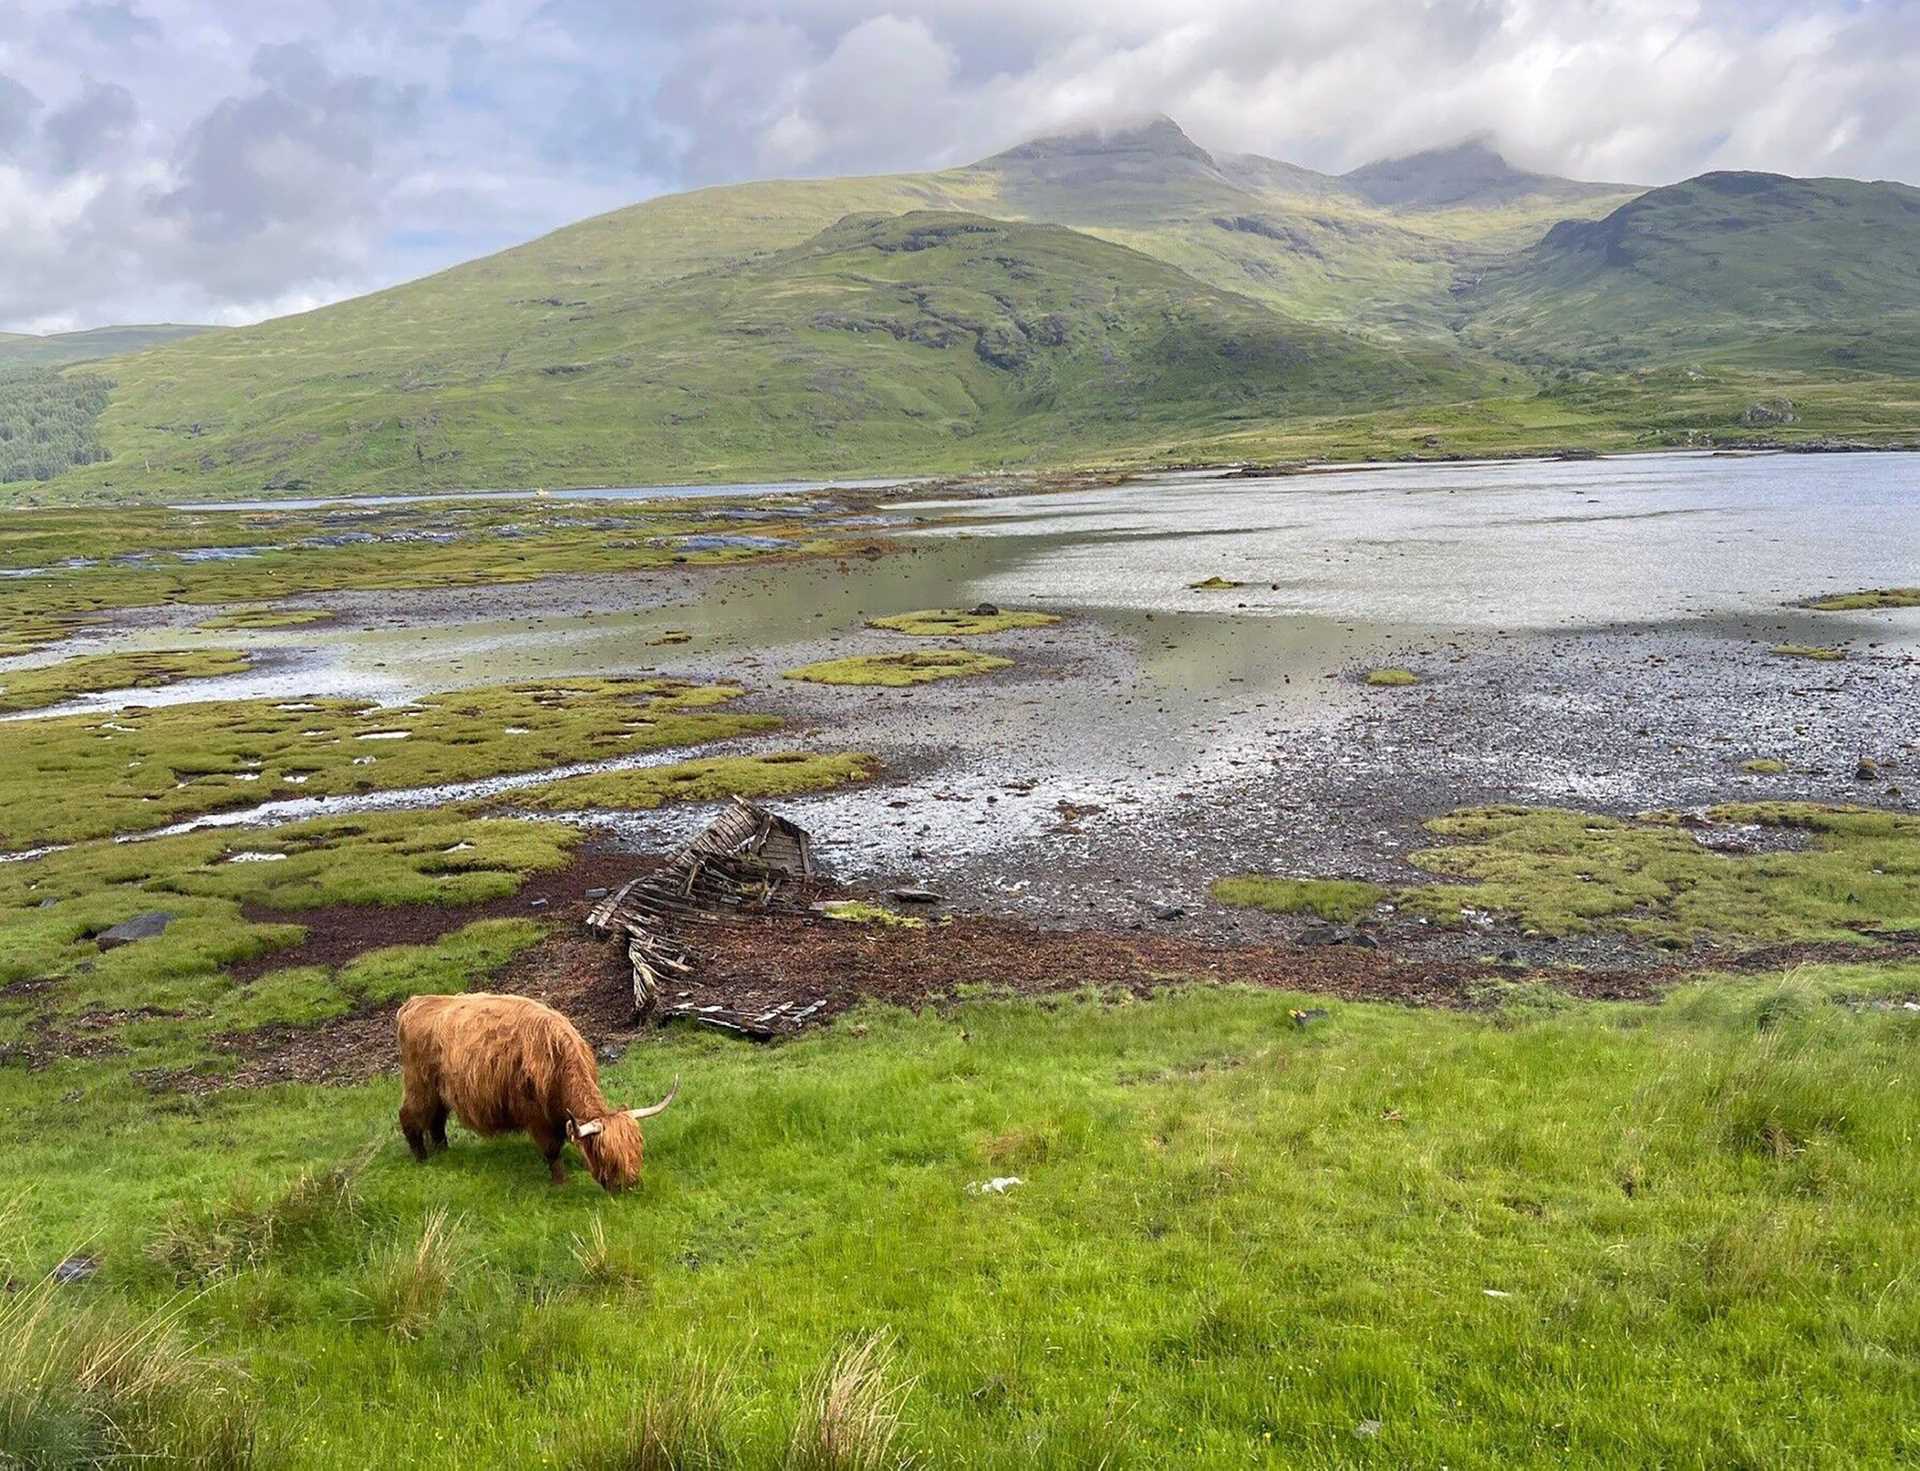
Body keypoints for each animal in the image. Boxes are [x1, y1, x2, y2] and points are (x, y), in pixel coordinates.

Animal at [393, 998, 679, 1190]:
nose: (631, 1185)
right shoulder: (536, 1117)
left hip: (440, 1093)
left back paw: (444, 1152)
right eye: (605, 1154)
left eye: (637, 1149)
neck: (557, 1060)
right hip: (419, 1085)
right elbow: (552, 1150)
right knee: (410, 1116)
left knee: (436, 1121)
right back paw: (422, 1159)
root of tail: (416, 1002)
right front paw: (561, 1183)